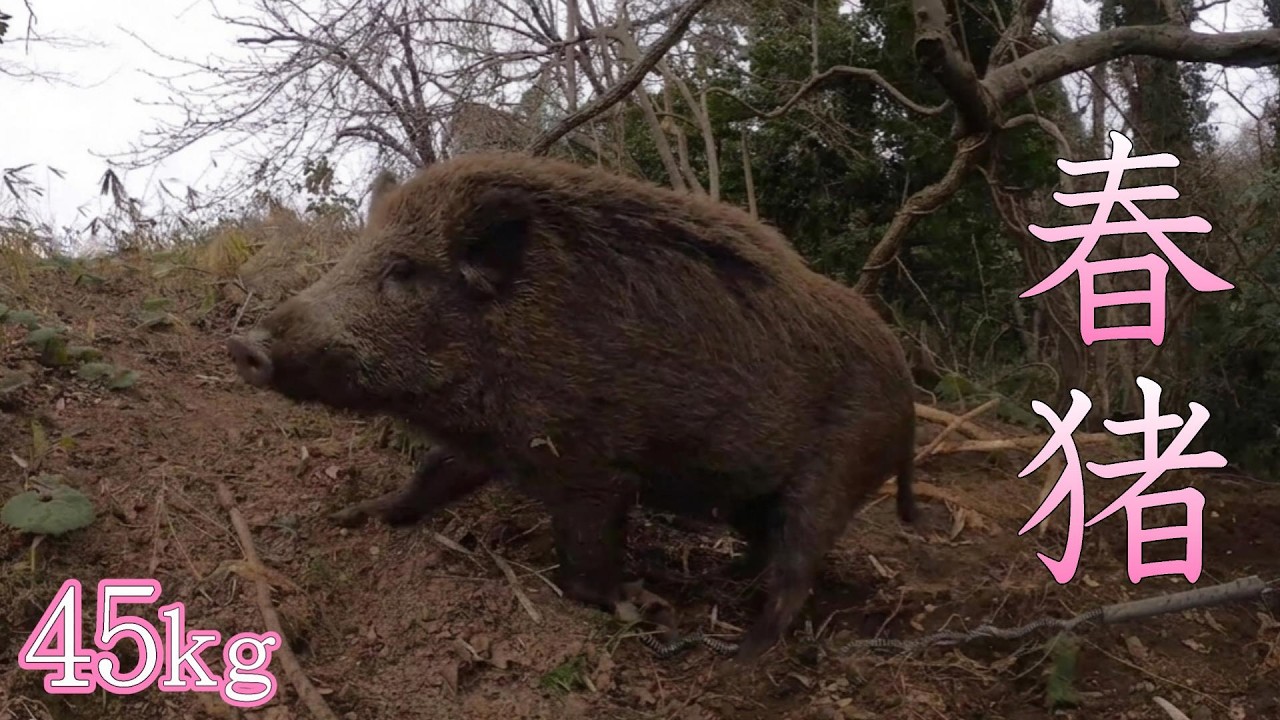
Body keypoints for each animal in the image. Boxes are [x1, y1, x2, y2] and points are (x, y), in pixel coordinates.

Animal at [226, 153, 917, 662]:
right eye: (352, 256)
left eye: (402, 270)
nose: (244, 345)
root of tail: (907, 386)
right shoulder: (489, 445)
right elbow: (427, 479)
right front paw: (352, 515)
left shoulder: (593, 465)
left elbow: (583, 564)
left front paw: (644, 606)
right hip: (757, 492)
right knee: (766, 546)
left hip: (836, 471)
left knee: (798, 571)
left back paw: (741, 653)